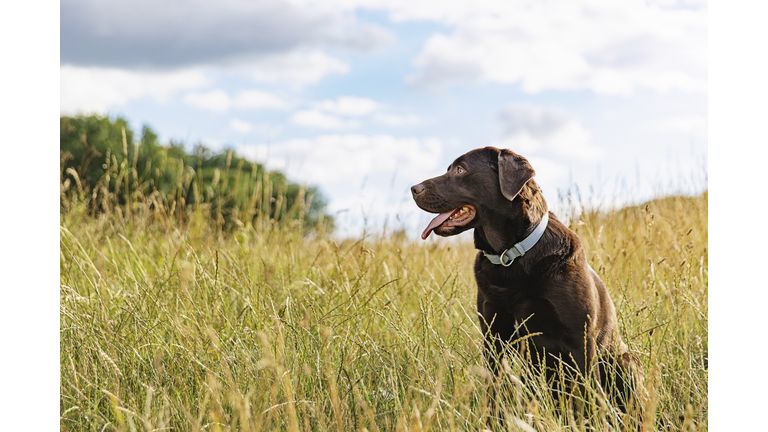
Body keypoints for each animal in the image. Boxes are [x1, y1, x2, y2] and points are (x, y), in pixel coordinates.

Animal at [414, 147, 640, 414]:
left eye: (460, 169)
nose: (413, 188)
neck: (509, 256)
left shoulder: (581, 341)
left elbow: (589, 399)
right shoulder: (494, 339)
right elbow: (495, 394)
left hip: (626, 361)